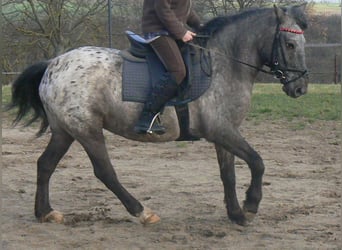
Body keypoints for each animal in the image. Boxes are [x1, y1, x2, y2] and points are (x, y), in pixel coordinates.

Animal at [8, 4, 308, 227]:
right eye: (290, 44)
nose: (301, 88)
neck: (223, 63)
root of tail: (53, 64)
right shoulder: (221, 130)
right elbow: (257, 162)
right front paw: (251, 205)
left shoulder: (225, 132)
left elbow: (228, 174)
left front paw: (236, 214)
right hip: (87, 130)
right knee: (105, 171)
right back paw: (142, 212)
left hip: (65, 130)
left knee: (45, 164)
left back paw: (45, 212)